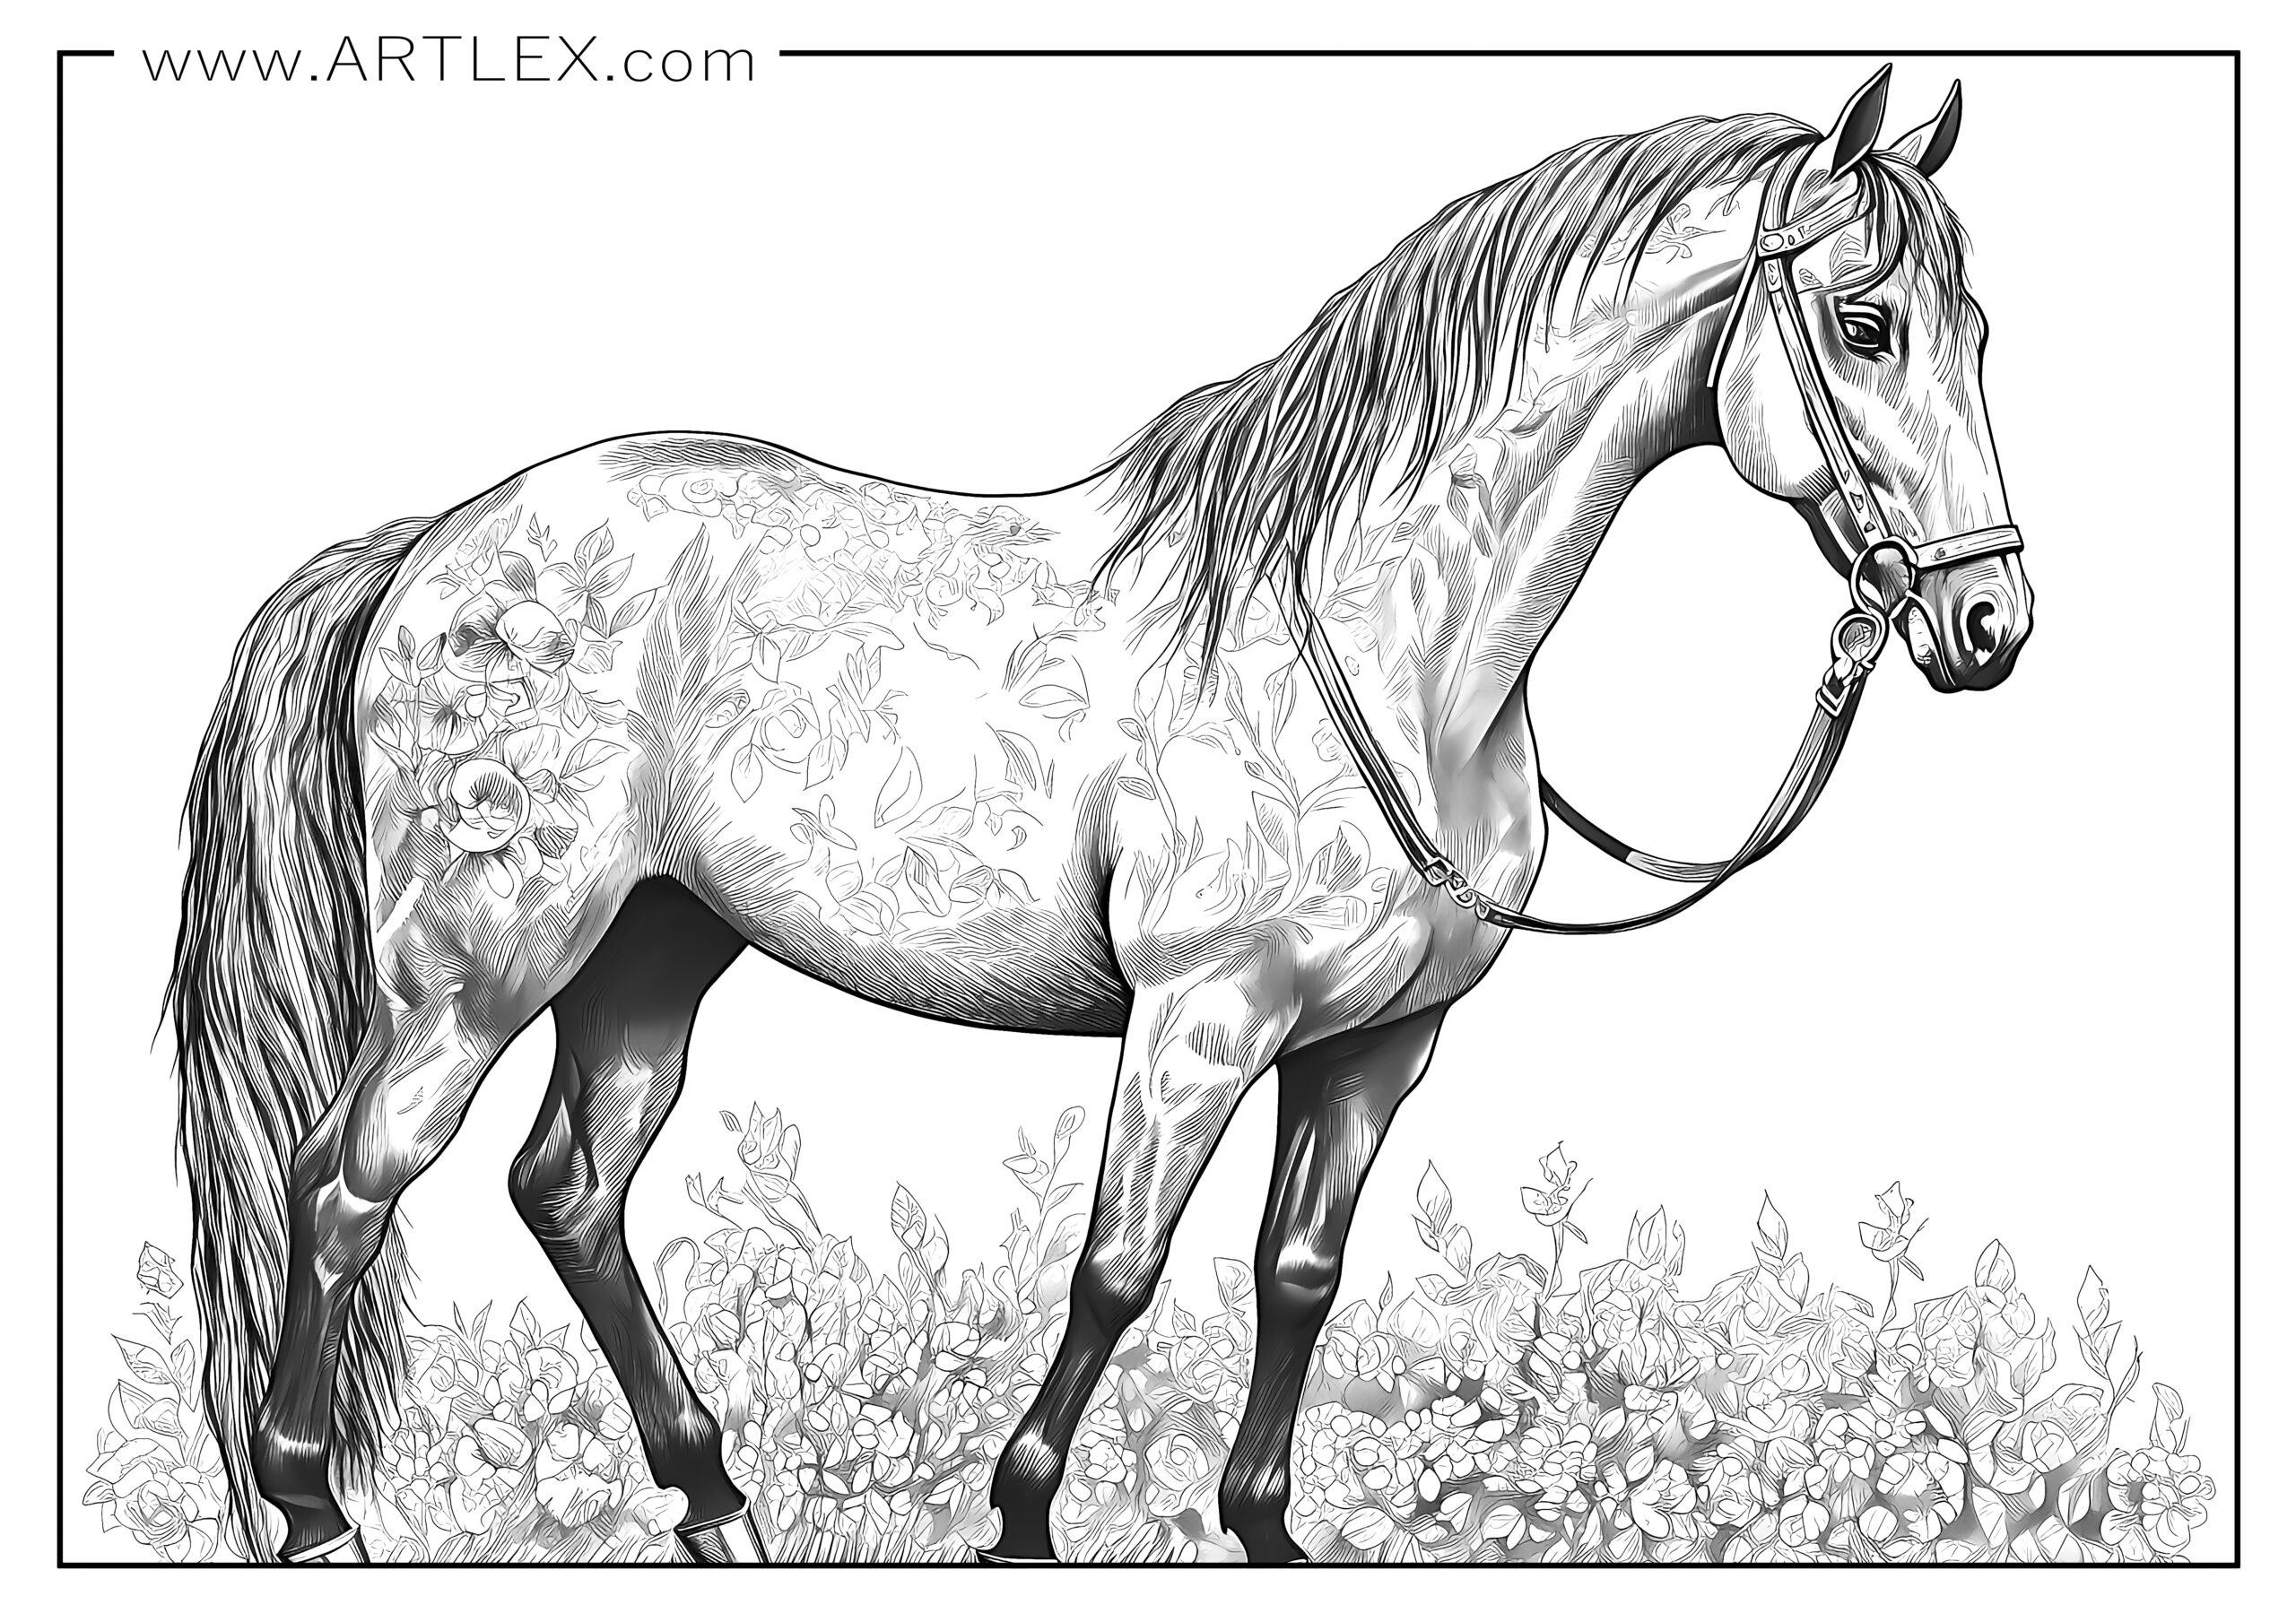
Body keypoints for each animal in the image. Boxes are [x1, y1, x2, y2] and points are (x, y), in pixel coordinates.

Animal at [169, 64, 2033, 1565]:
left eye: (1979, 333)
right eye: (1867, 325)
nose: (1988, 625)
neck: (1378, 641)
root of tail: (432, 546)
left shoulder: (1374, 1047)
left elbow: (1298, 1272)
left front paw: (1263, 1529)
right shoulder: (1202, 1015)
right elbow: (1118, 1266)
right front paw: (1018, 1519)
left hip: (652, 952)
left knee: (567, 1188)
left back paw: (713, 1502)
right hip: (480, 969)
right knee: (347, 1183)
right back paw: (312, 1505)